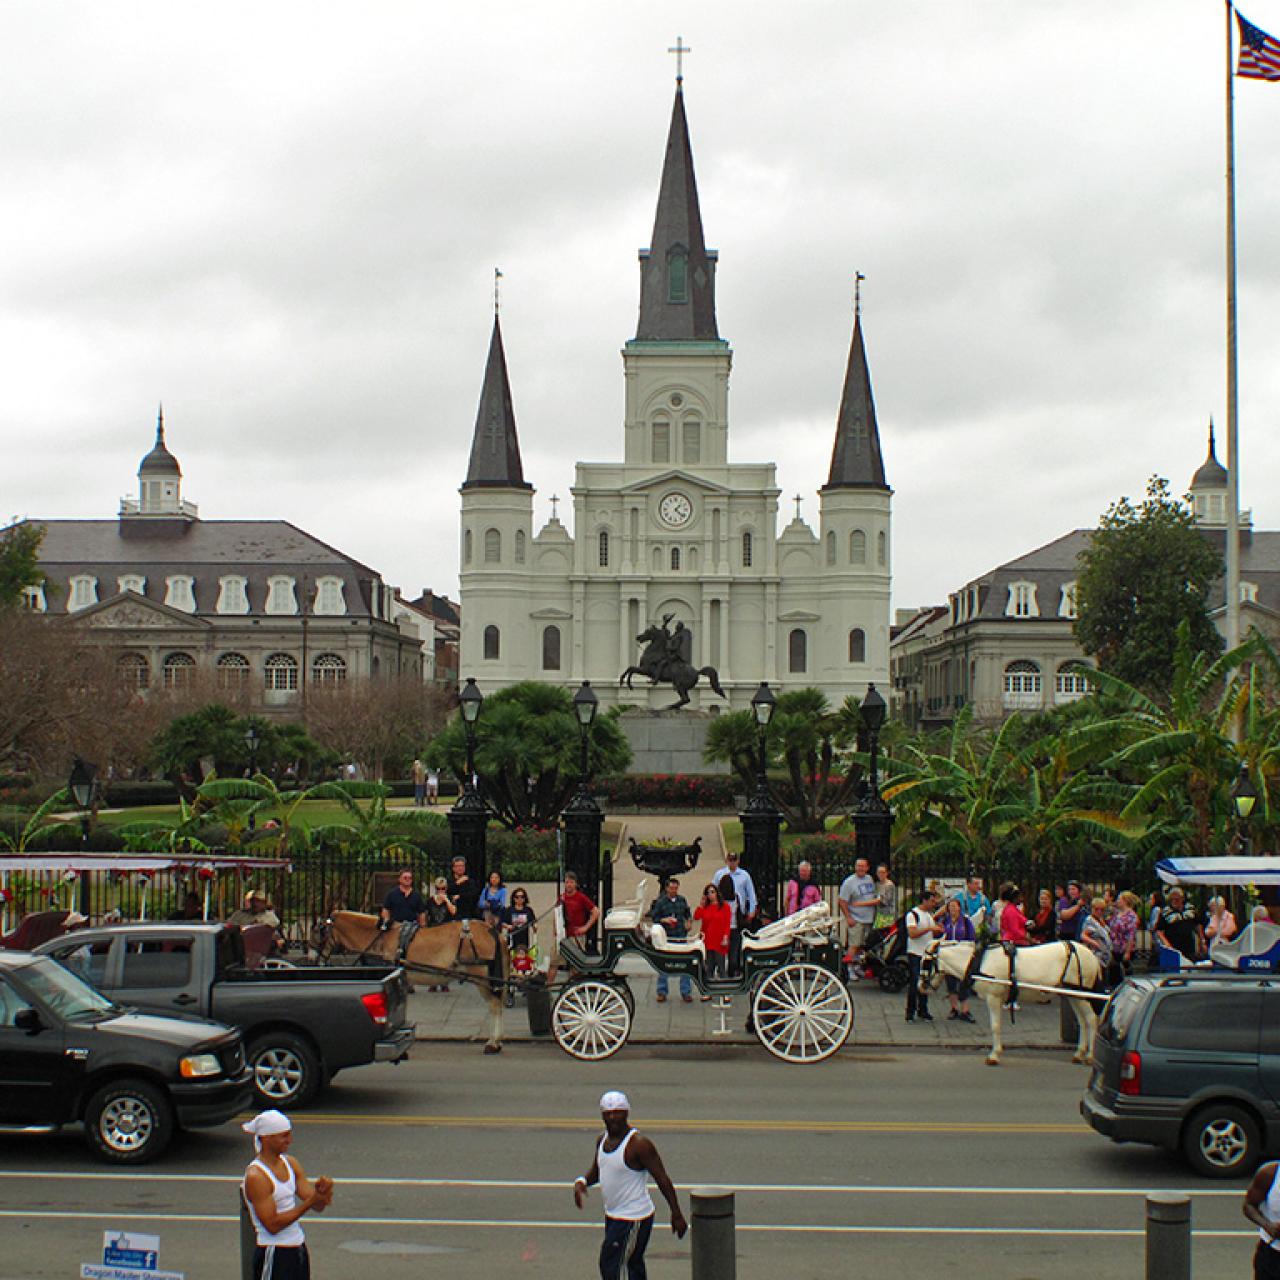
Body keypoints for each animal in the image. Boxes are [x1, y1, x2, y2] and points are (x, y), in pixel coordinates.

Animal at [322, 916, 506, 1054]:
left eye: (321, 930)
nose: (317, 957)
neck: (381, 939)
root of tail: (491, 930)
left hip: (482, 977)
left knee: (495, 1006)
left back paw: (493, 1043)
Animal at [921, 936, 1100, 1064]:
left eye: (926, 962)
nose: (920, 987)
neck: (979, 961)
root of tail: (1090, 954)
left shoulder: (993, 998)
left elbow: (995, 1026)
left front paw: (994, 1055)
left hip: (1081, 995)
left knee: (1091, 1019)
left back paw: (1090, 1056)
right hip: (1073, 995)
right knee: (1082, 1021)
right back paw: (1079, 1053)